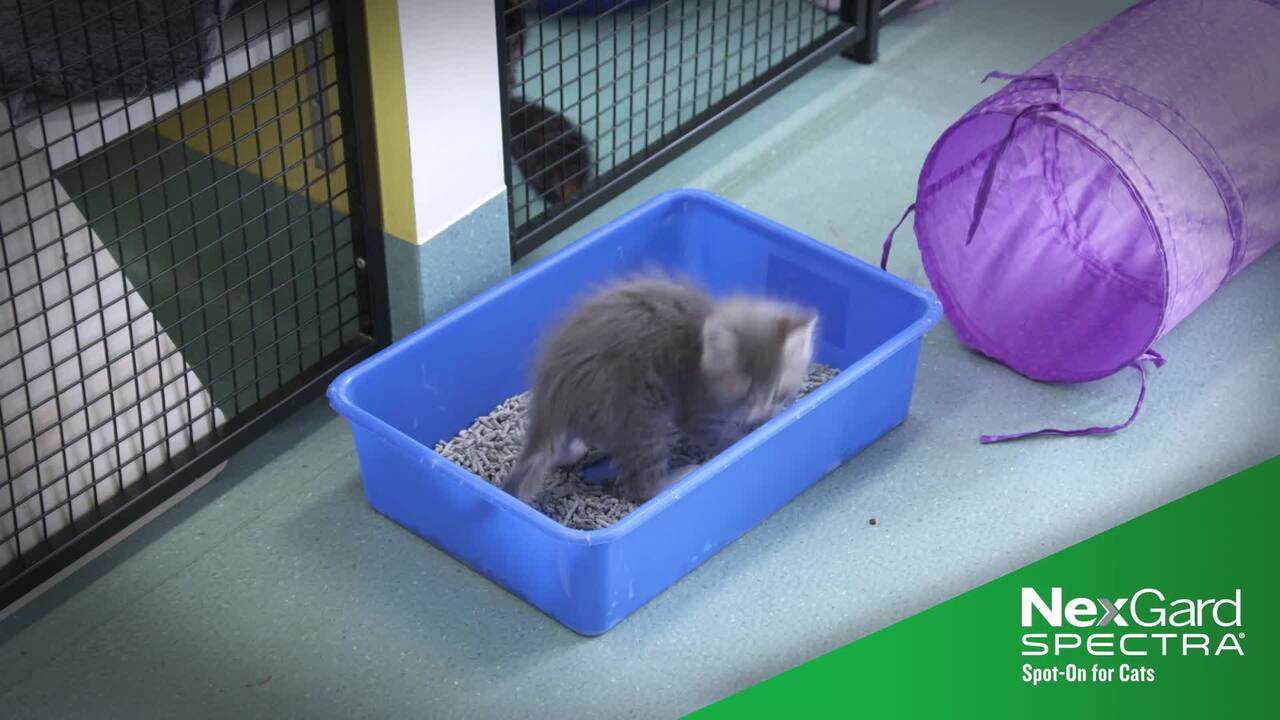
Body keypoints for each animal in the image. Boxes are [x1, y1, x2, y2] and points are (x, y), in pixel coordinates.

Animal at [501, 271, 819, 502]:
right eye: (746, 394)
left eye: (778, 392)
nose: (762, 416)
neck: (700, 351)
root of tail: (552, 391)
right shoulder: (696, 405)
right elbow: (720, 433)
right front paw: (740, 438)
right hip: (642, 416)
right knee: (643, 486)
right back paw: (679, 477)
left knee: (567, 448)